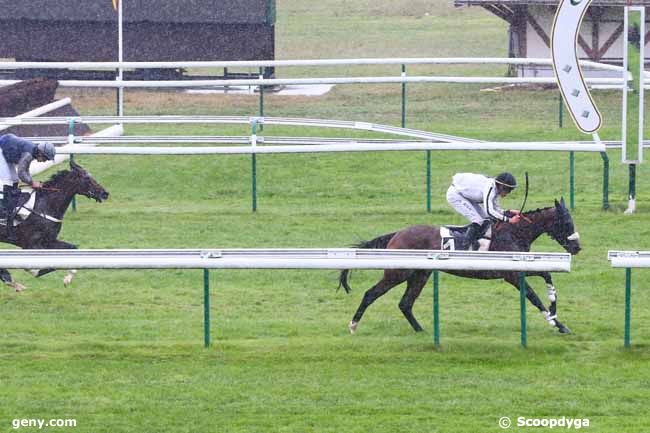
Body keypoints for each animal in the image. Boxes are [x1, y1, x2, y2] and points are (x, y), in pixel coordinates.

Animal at [0, 161, 109, 290]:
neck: (46, 204)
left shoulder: (49, 240)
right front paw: (33, 270)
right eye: (87, 178)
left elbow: (72, 248)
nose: (105, 193)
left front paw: (68, 278)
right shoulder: (31, 244)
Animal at [336, 198, 580, 334]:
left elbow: (547, 276)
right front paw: (555, 323)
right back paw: (353, 325)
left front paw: (555, 314)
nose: (577, 247)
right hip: (397, 273)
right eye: (567, 222)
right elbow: (534, 297)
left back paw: (421, 331)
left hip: (419, 274)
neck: (515, 232)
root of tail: (397, 234)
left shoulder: (521, 269)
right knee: (371, 294)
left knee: (405, 303)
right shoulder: (511, 275)